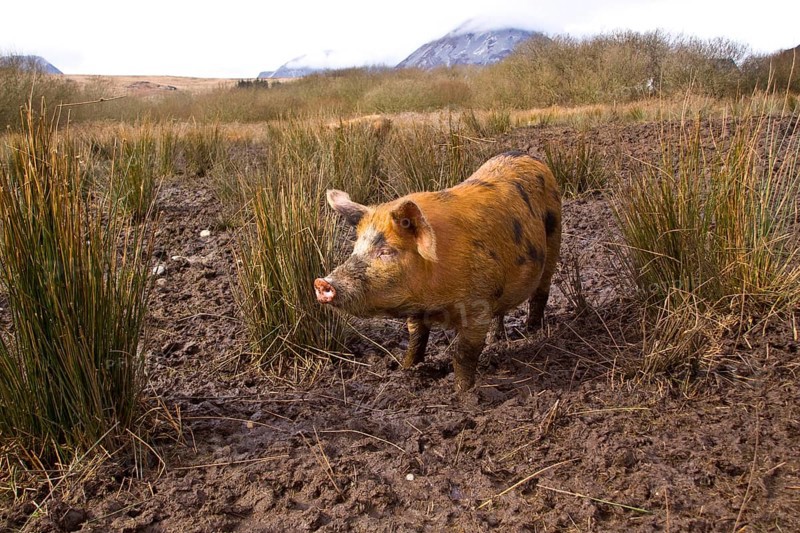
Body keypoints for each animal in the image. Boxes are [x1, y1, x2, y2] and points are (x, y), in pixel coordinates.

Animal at [314, 151, 561, 391]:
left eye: (386, 251)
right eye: (356, 248)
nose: (321, 282)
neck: (433, 302)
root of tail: (529, 156)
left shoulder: (478, 305)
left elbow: (464, 354)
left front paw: (463, 393)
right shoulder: (417, 310)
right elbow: (416, 339)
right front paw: (406, 369)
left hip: (553, 239)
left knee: (541, 291)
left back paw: (532, 332)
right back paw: (497, 340)